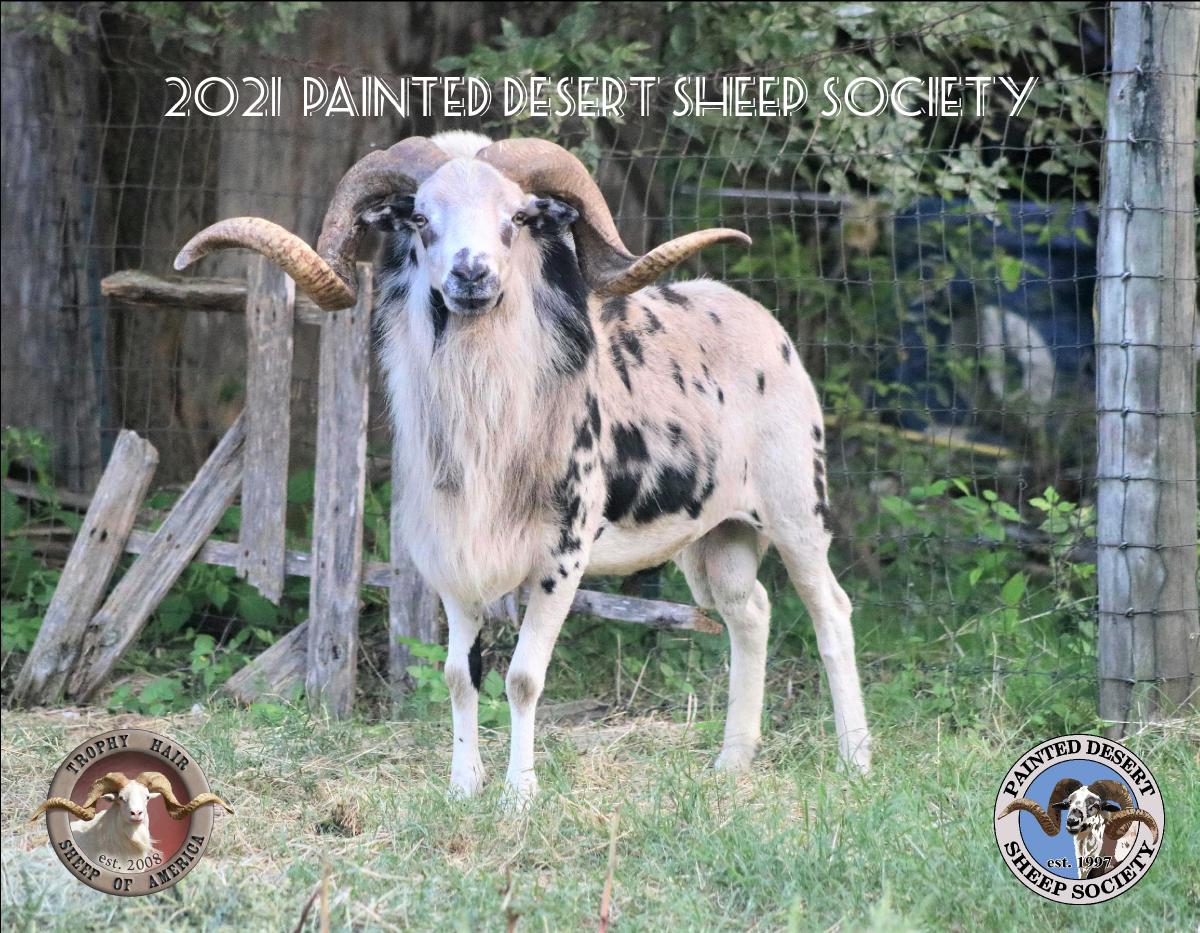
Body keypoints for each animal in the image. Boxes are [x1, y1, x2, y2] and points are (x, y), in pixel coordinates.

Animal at [174, 132, 872, 805]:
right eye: (420, 218)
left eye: (516, 217)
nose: (471, 272)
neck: (490, 428)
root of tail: (765, 325)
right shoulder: (451, 563)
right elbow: (459, 677)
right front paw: (463, 788)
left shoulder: (561, 561)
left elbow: (523, 679)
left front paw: (519, 794)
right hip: (715, 540)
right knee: (750, 613)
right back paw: (731, 765)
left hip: (795, 511)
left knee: (832, 613)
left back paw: (855, 761)